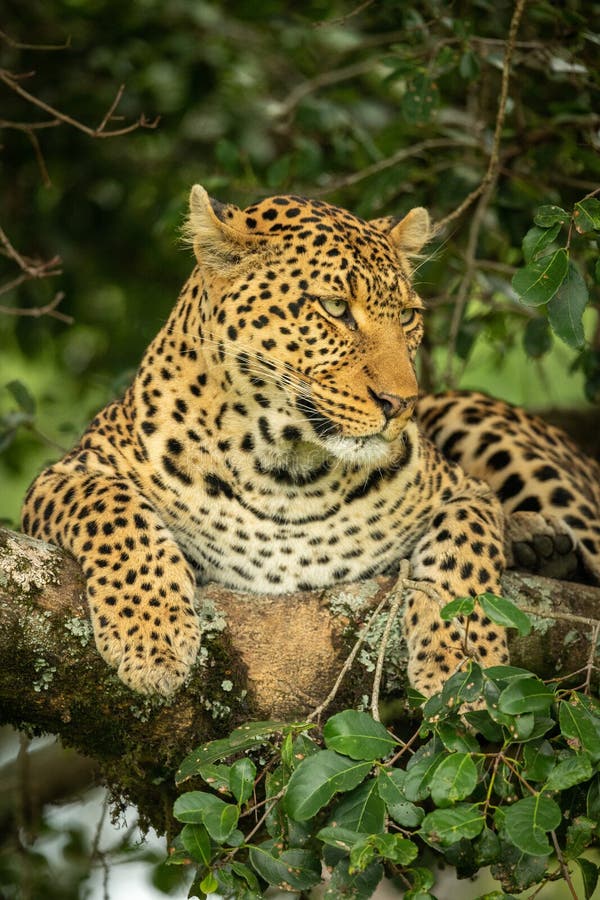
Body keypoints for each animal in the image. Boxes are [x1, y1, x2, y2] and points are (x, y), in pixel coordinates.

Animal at [21, 185, 600, 700]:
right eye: (335, 308)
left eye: (407, 316)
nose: (401, 403)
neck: (284, 469)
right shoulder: (65, 474)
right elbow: (113, 510)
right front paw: (151, 638)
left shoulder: (463, 490)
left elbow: (465, 551)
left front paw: (466, 663)